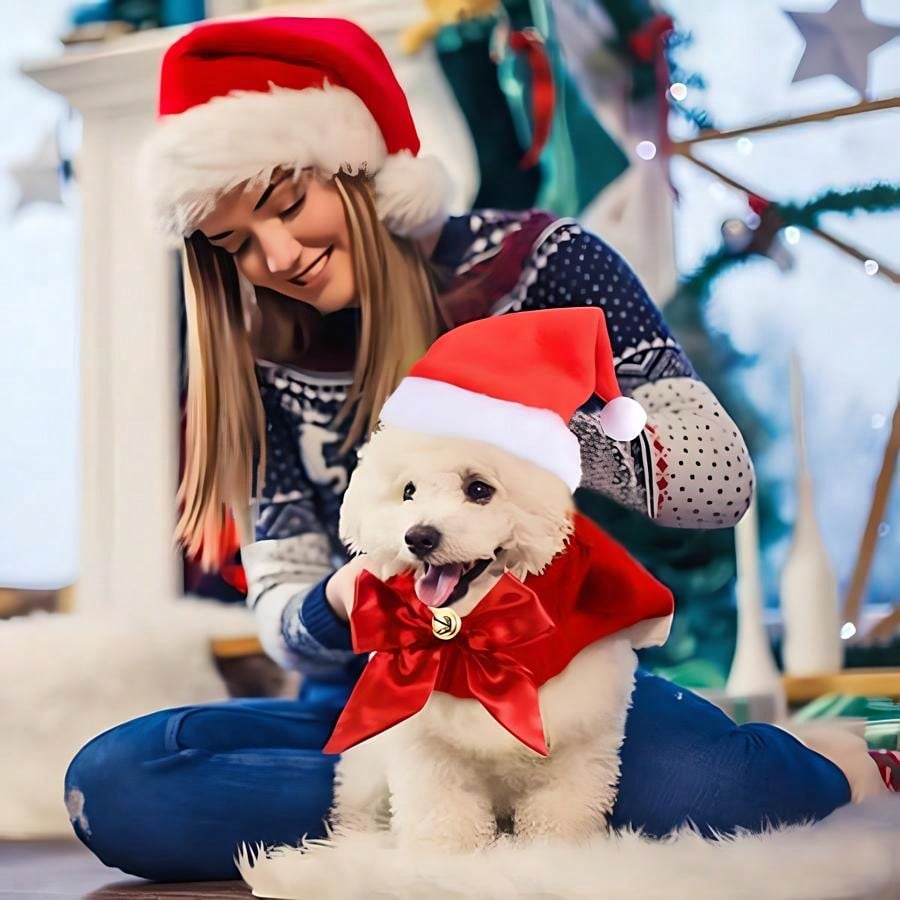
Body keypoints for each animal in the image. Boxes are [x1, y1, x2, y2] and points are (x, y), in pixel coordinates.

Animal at [330, 426, 640, 856]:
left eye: (479, 489)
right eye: (408, 491)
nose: (418, 537)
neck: (481, 633)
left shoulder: (580, 742)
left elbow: (561, 813)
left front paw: (555, 856)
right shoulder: (429, 748)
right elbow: (443, 810)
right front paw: (447, 855)